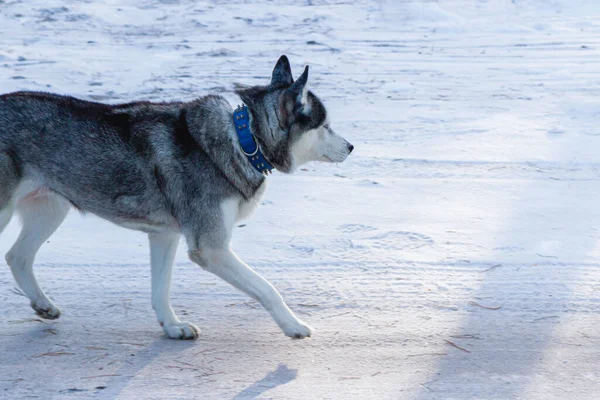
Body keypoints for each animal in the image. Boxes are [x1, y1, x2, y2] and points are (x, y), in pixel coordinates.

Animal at [0, 55, 354, 338]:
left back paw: (43, 304)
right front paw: (293, 325)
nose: (351, 146)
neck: (245, 139)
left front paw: (172, 327)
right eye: (325, 126)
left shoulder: (164, 236)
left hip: (50, 210)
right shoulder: (211, 249)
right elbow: (267, 288)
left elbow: (161, 290)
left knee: (17, 256)